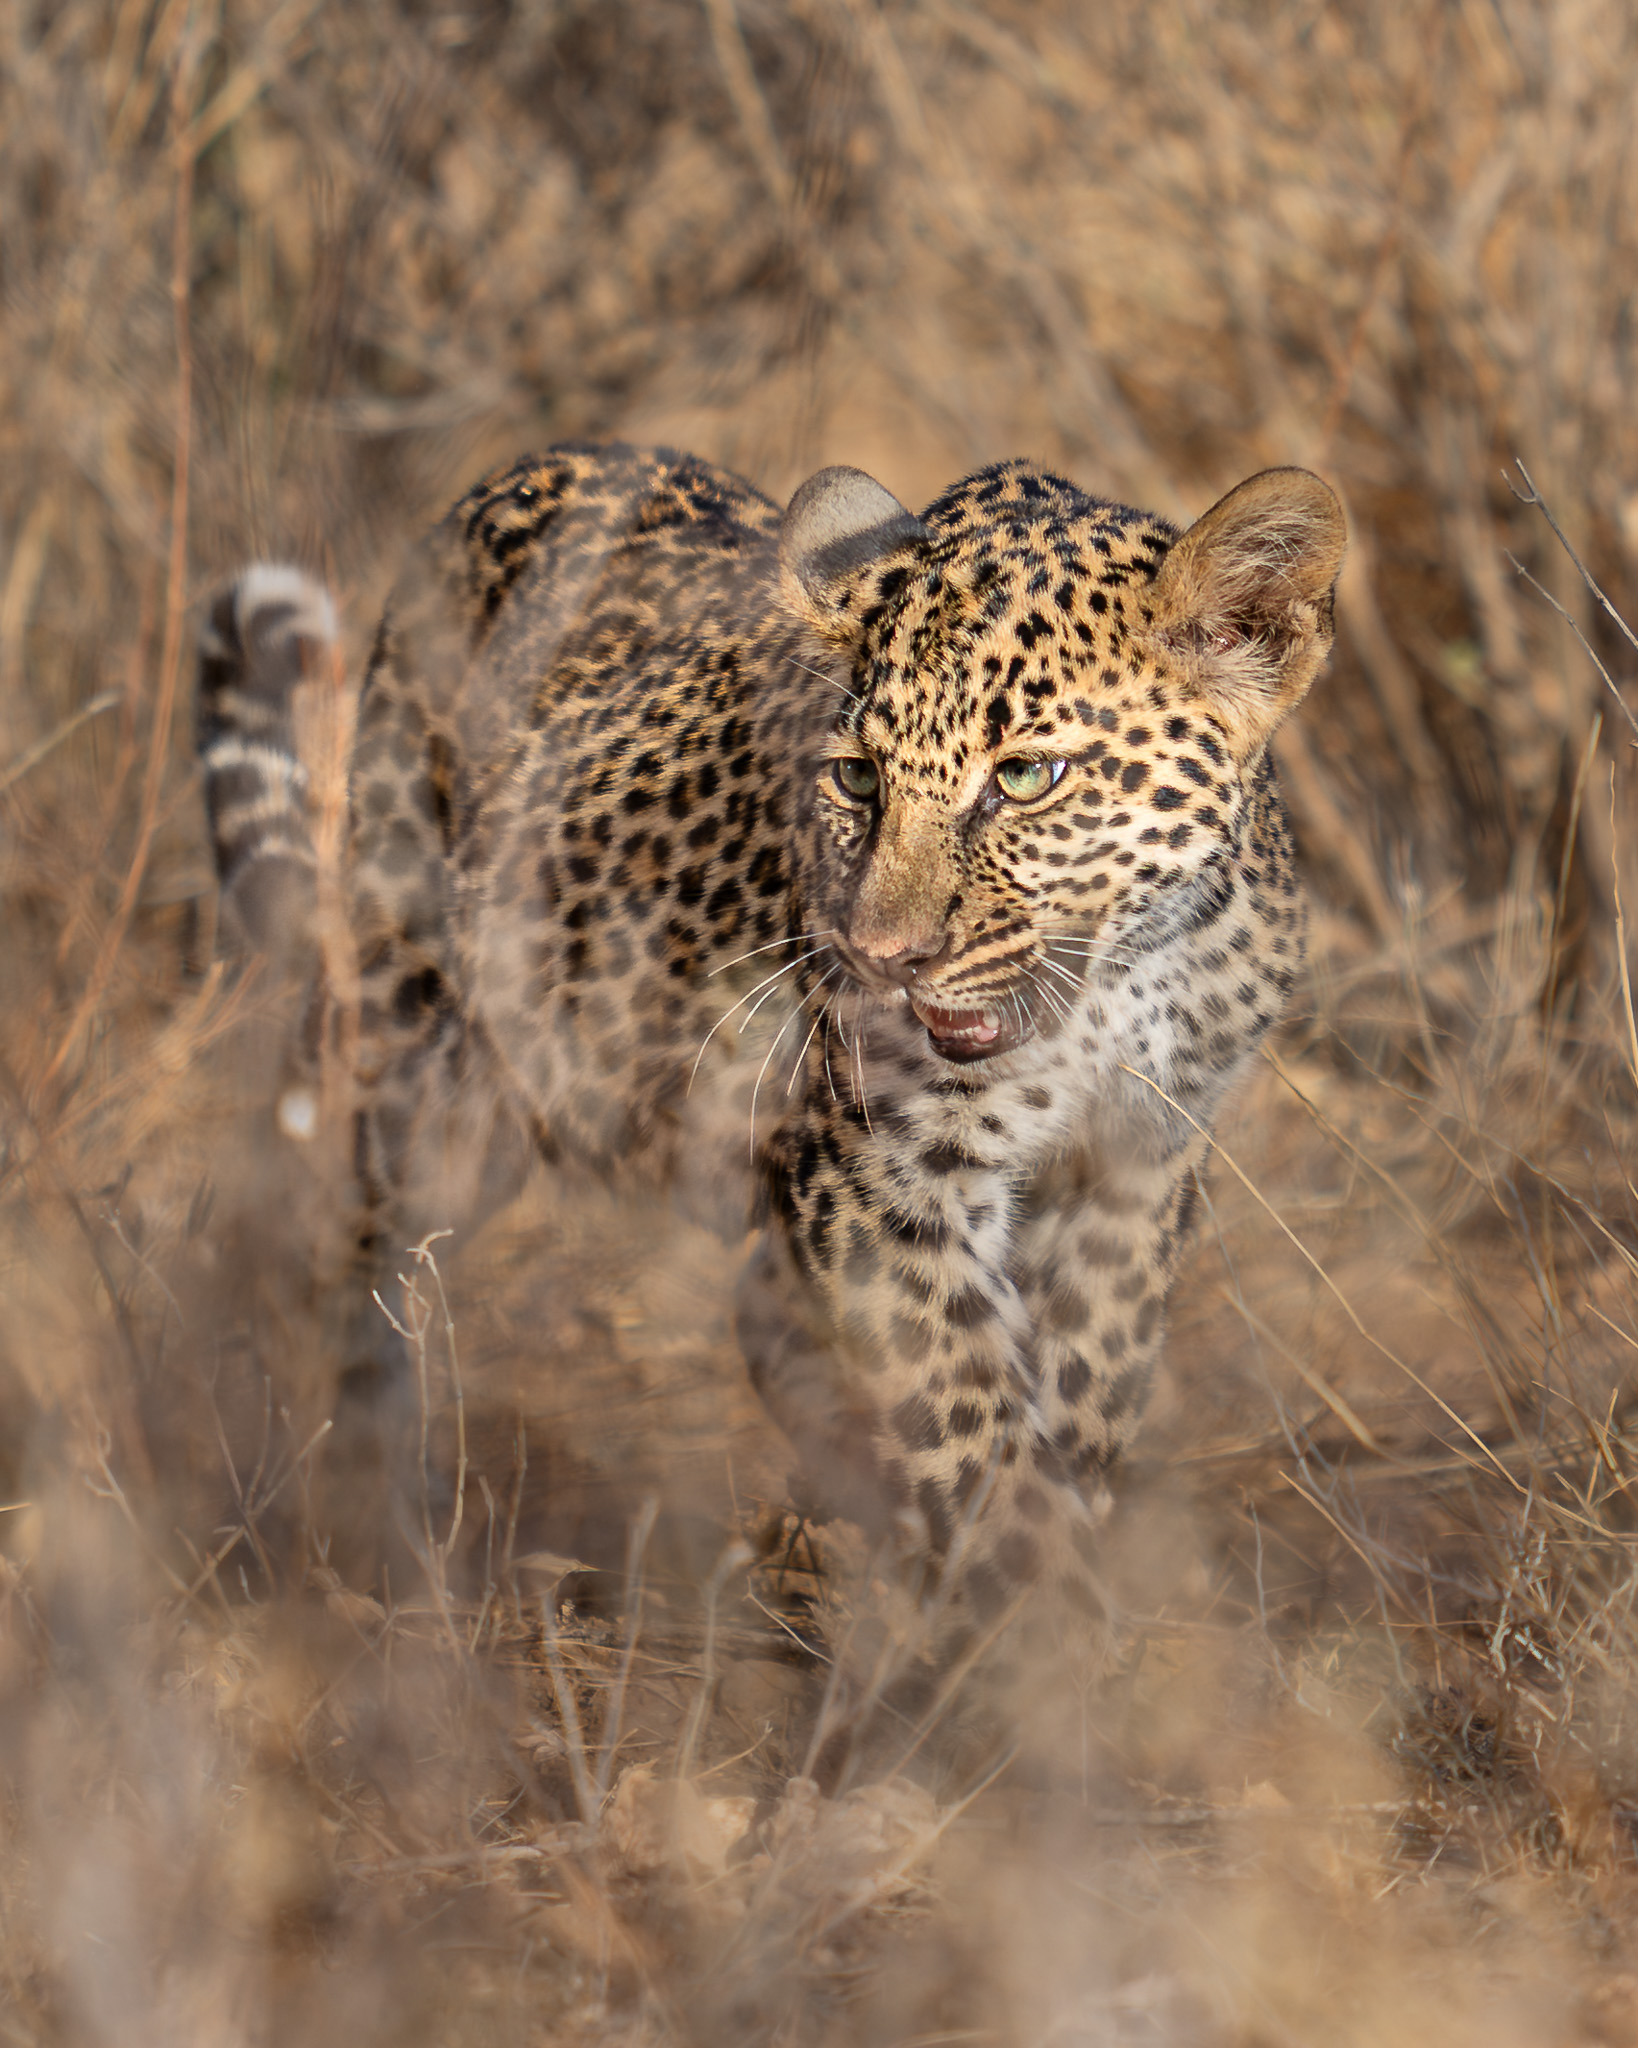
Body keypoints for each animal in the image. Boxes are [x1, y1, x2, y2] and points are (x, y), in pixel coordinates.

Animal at [198, 439, 1344, 1657]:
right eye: (857, 777)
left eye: (1027, 777)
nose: (881, 957)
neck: (1109, 996)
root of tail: (520, 470)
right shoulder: (881, 1176)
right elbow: (973, 1424)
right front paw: (1033, 1630)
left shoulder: (1138, 1166)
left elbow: (1083, 1389)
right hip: (424, 1063)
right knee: (351, 1269)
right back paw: (367, 1538)